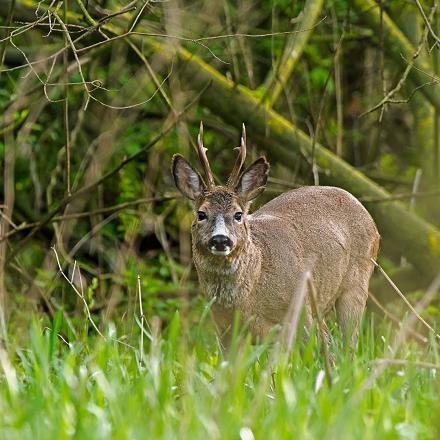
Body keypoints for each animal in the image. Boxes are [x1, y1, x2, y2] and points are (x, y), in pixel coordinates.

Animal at [170, 123, 380, 350]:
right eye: (201, 214)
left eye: (238, 214)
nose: (220, 239)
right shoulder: (224, 328)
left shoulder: (300, 309)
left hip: (357, 283)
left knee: (349, 343)